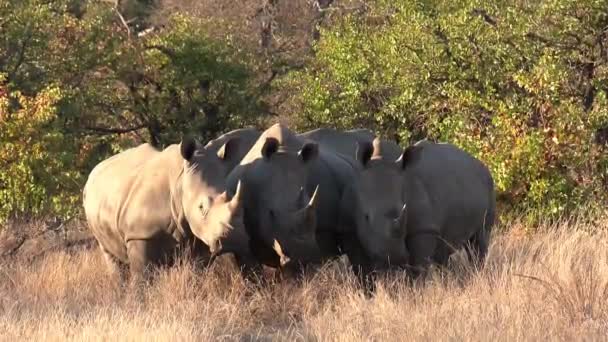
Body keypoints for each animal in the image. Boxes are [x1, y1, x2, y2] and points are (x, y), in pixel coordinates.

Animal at [83, 136, 252, 284]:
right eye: (201, 207)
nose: (234, 239)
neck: (181, 184)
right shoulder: (139, 234)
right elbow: (142, 278)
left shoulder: (200, 237)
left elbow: (196, 274)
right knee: (110, 254)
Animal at [340, 138, 496, 288]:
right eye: (365, 217)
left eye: (403, 210)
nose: (392, 258)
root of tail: (481, 165)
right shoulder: (363, 236)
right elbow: (371, 269)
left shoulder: (424, 228)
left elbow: (418, 269)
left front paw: (415, 292)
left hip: (488, 185)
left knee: (479, 240)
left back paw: (477, 275)